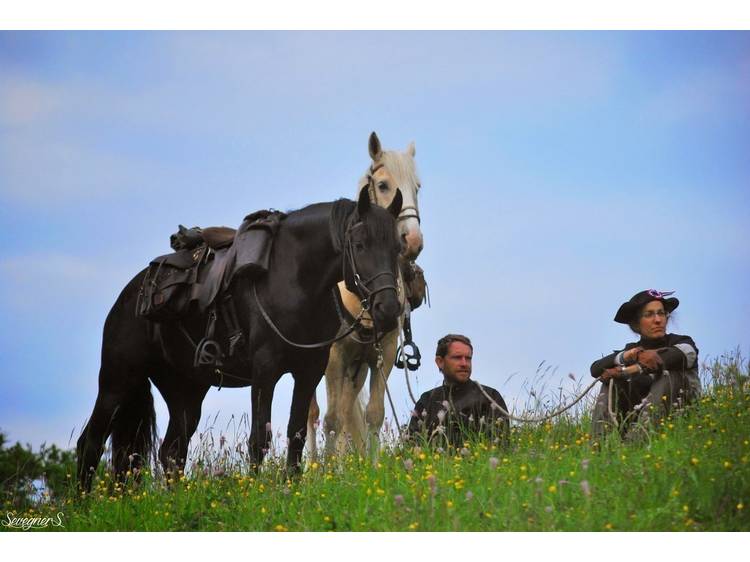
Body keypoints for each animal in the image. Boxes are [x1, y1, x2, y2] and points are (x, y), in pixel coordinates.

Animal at [76, 187, 404, 491]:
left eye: (397, 248)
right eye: (360, 245)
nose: (388, 309)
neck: (294, 279)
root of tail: (131, 295)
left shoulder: (308, 371)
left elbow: (296, 432)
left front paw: (292, 488)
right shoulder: (264, 372)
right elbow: (259, 438)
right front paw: (257, 491)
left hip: (185, 391)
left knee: (172, 451)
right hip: (117, 382)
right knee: (90, 442)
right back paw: (82, 503)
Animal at [306, 132, 424, 459]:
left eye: (417, 187)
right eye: (383, 185)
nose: (413, 241)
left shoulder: (382, 352)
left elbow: (373, 414)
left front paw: (371, 464)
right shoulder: (334, 357)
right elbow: (332, 419)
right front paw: (325, 469)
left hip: (355, 370)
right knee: (313, 413)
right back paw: (313, 462)